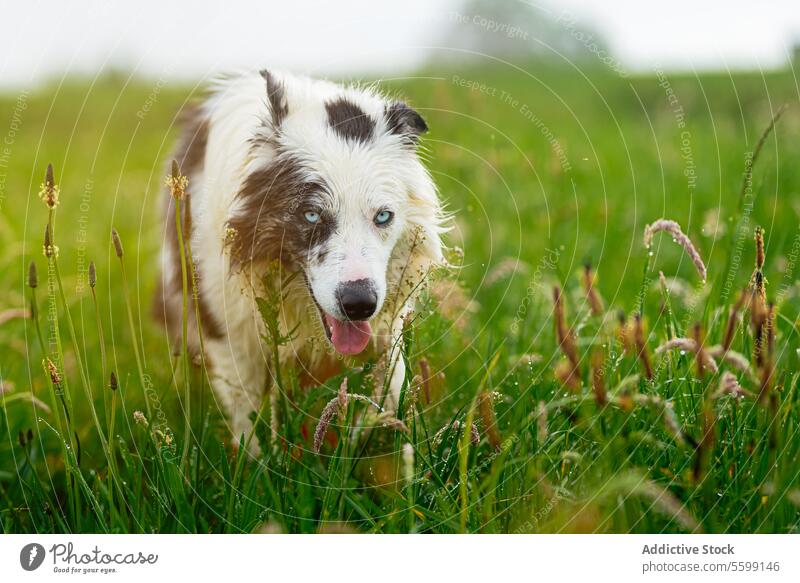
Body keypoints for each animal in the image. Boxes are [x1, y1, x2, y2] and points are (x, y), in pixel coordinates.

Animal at [156, 69, 444, 452]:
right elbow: (247, 416)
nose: (359, 304)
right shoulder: (227, 327)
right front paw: (257, 462)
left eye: (383, 217)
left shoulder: (387, 324)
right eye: (310, 215)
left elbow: (389, 388)